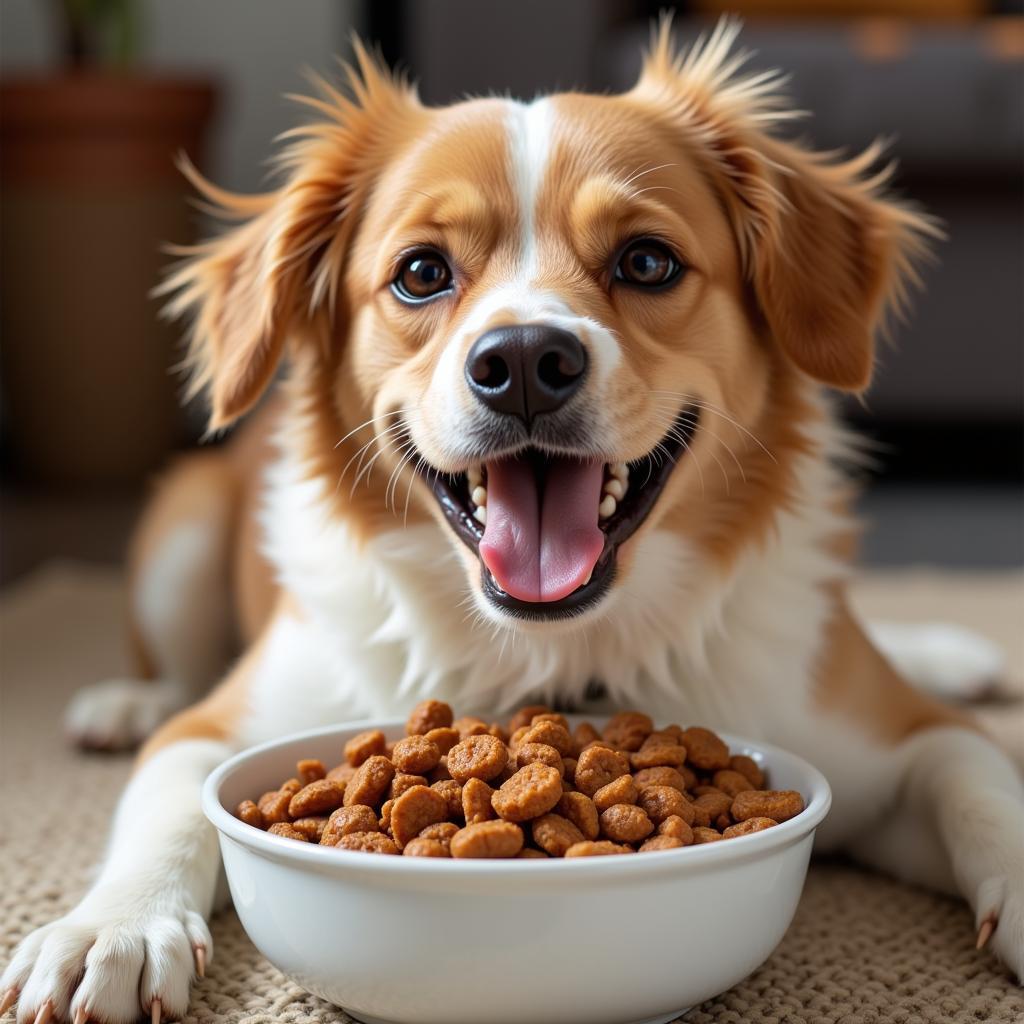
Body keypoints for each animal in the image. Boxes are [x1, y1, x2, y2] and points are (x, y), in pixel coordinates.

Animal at [4, 18, 1019, 1024]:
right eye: (421, 273)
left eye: (647, 261)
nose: (526, 359)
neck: (558, 656)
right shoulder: (220, 728)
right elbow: (170, 807)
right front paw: (111, 928)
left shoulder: (898, 743)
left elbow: (977, 783)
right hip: (178, 535)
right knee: (169, 670)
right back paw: (122, 702)